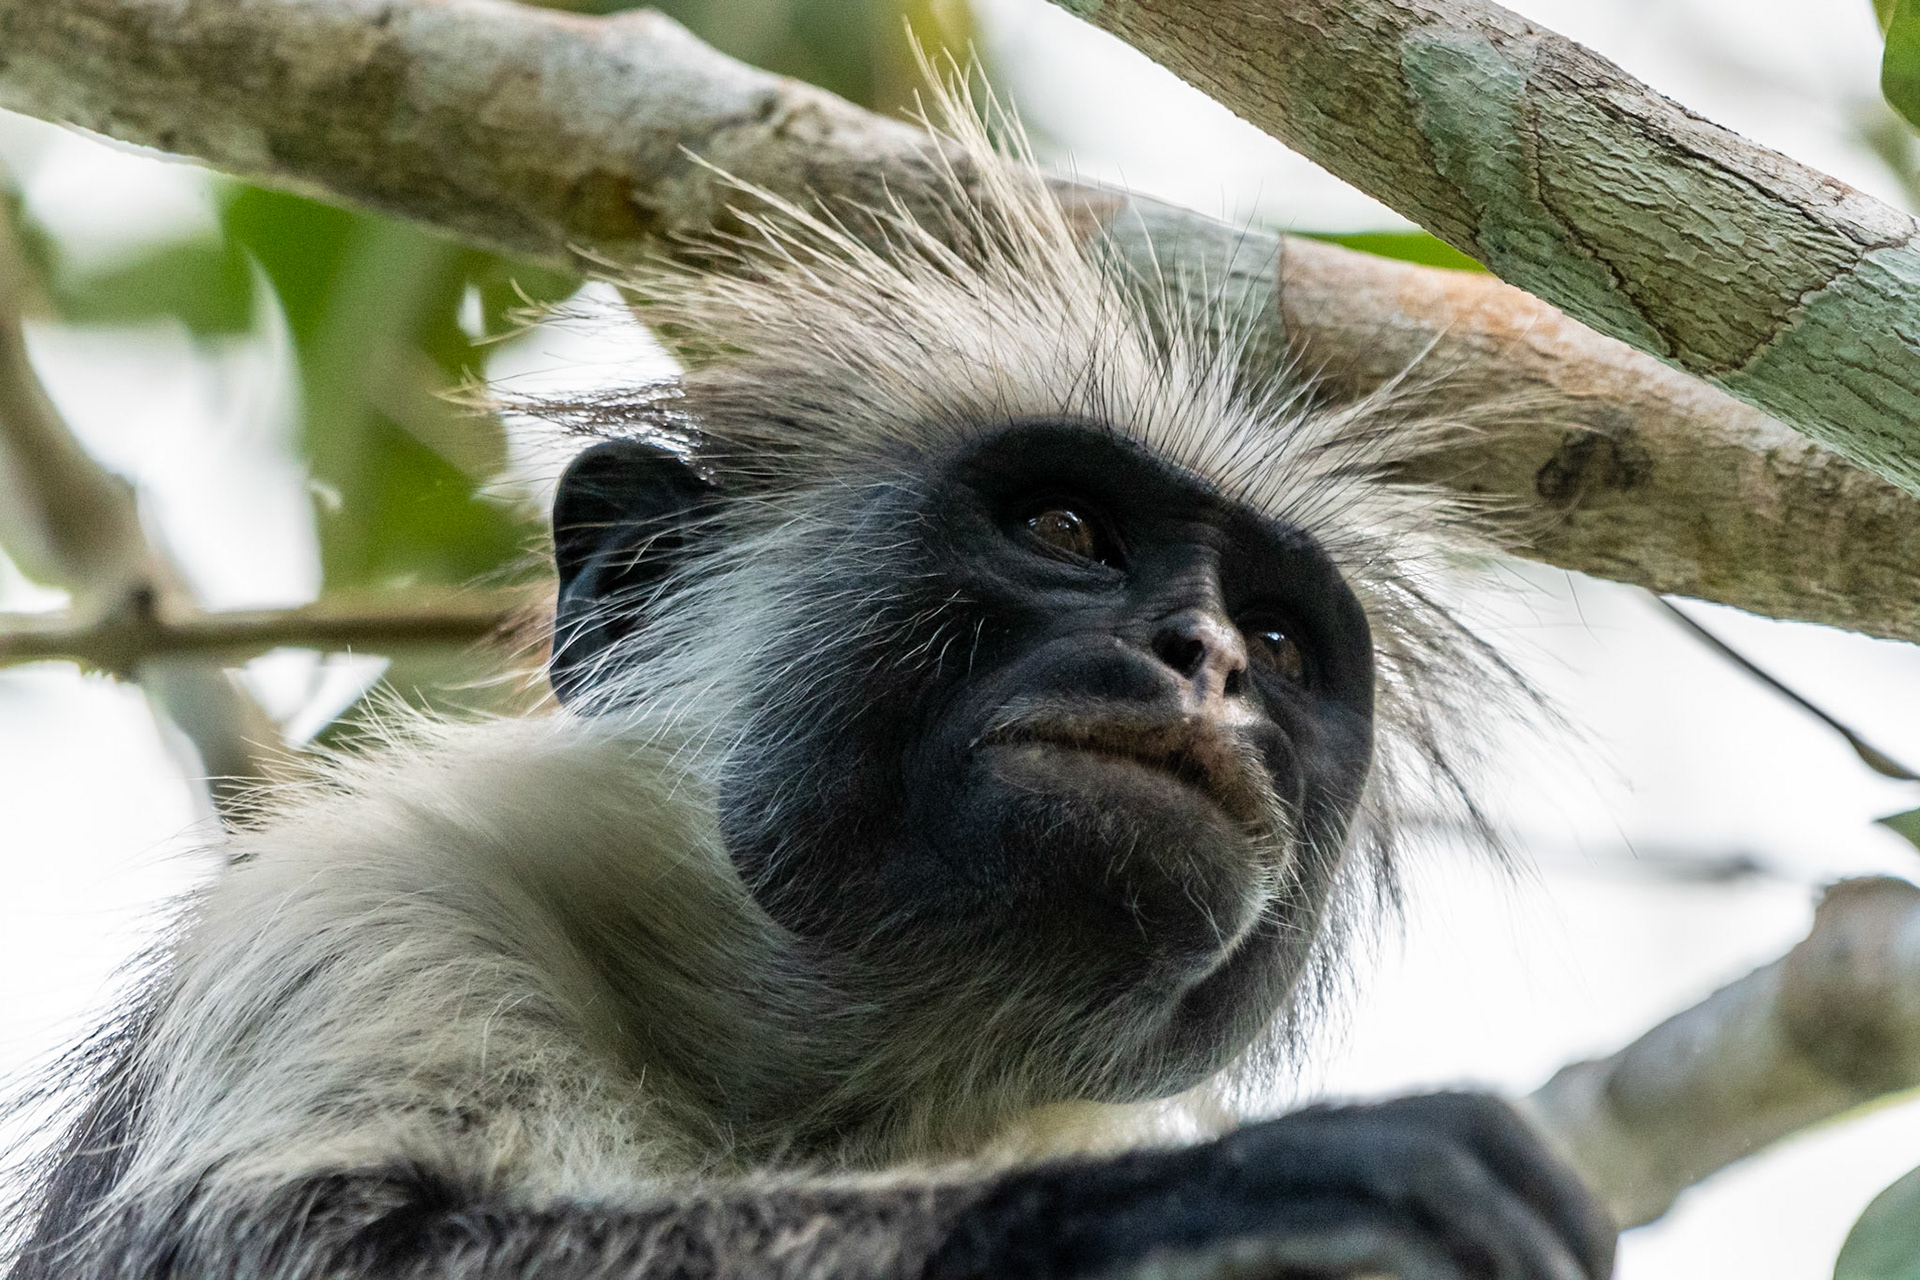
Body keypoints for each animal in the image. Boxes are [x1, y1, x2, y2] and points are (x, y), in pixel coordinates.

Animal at [2, 95, 1615, 1280]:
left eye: (1277, 646)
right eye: (1066, 531)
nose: (1205, 658)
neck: (807, 1084)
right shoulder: (363, 900)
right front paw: (1200, 1206)